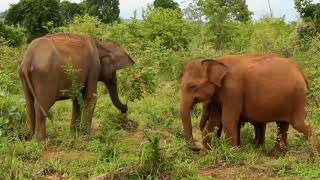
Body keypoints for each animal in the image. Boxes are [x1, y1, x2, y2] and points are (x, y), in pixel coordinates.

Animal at [181, 54, 312, 154]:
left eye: (192, 86)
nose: (196, 147)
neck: (216, 61)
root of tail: (300, 71)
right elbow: (214, 121)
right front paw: (207, 153)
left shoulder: (233, 90)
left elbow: (228, 120)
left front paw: (231, 153)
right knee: (282, 125)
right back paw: (276, 155)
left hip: (297, 97)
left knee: (299, 124)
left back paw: (312, 155)